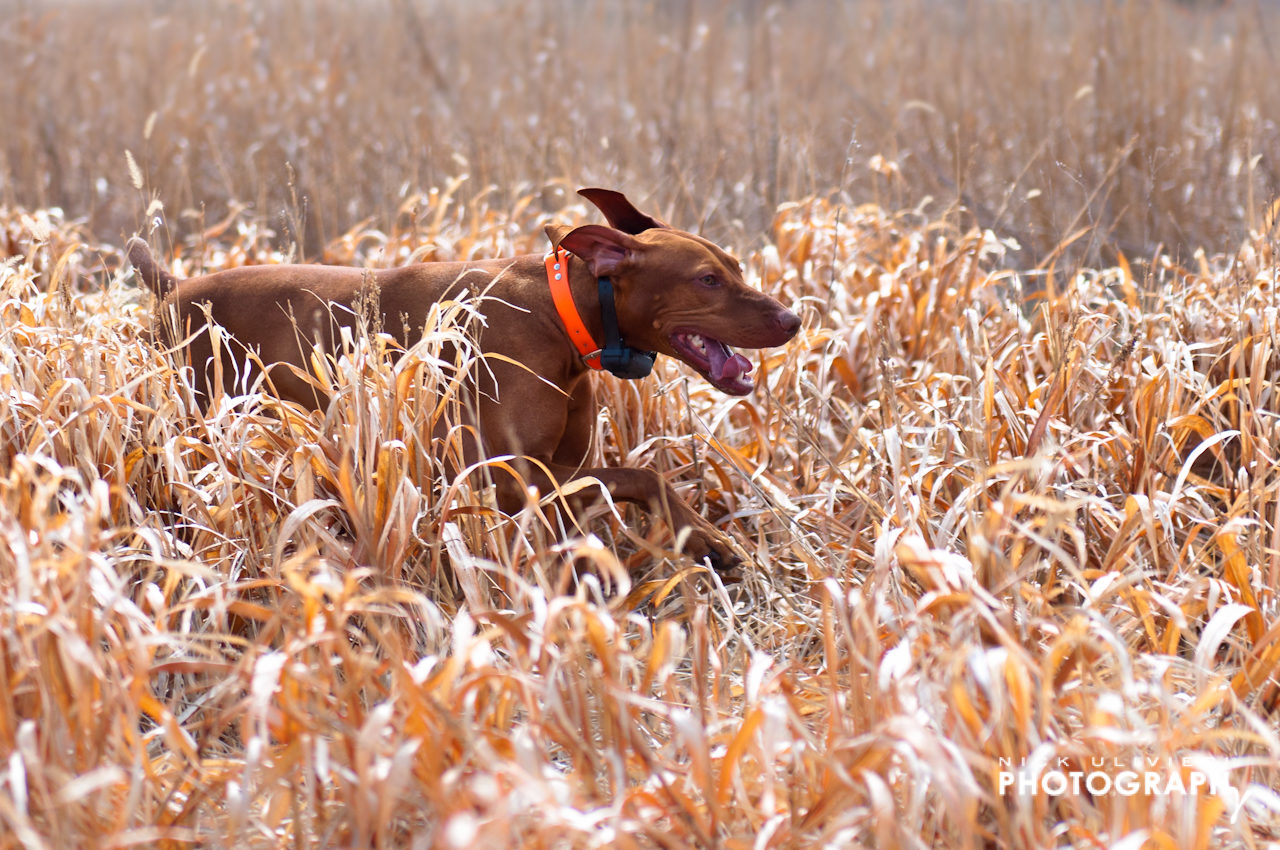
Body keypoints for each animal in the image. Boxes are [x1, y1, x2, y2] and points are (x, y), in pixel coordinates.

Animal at [124, 189, 793, 568]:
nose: (793, 318)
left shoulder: (559, 472)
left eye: (735, 266)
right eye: (707, 279)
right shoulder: (504, 476)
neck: (560, 314)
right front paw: (704, 539)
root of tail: (176, 286)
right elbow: (639, 474)